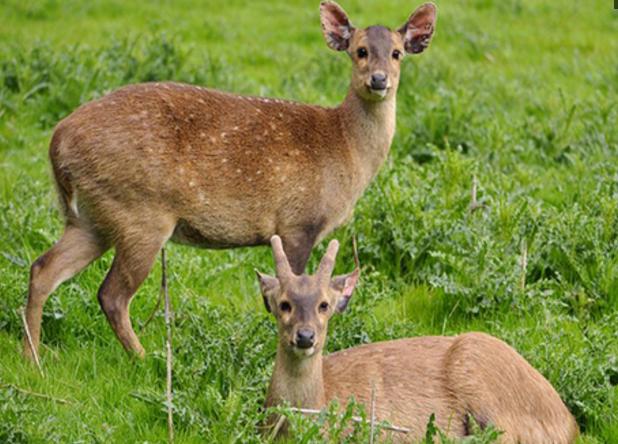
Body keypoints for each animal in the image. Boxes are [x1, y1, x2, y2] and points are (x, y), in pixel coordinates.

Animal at [24, 1, 436, 360]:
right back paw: (145, 358)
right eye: (360, 51)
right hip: (139, 211)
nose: (379, 80)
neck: (344, 148)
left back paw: (34, 358)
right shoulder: (297, 222)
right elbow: (292, 286)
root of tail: (58, 140)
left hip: (92, 217)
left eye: (397, 53)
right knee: (111, 294)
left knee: (43, 268)